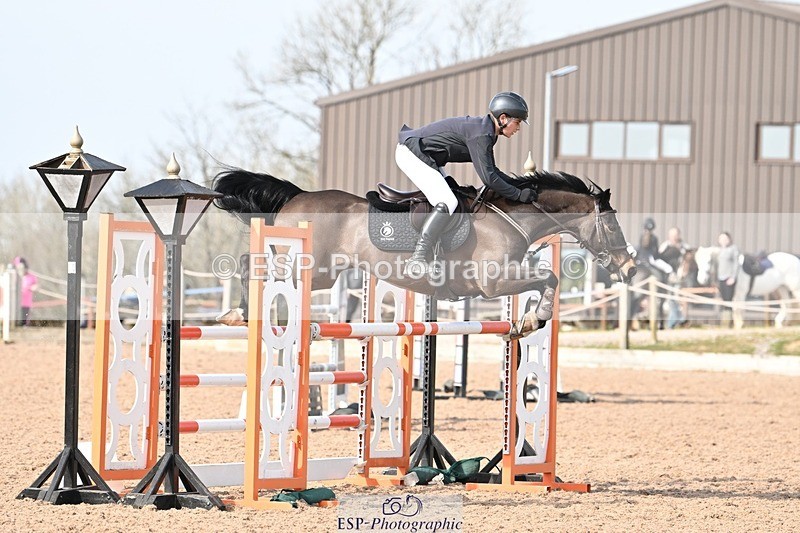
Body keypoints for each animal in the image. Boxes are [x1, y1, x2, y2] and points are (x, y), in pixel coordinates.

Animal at [212, 168, 638, 336]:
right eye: (613, 225)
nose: (630, 268)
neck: (512, 217)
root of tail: (296, 195)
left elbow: (546, 278)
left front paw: (530, 320)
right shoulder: (494, 284)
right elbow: (548, 277)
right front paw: (535, 319)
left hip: (322, 274)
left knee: (256, 265)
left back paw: (240, 313)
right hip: (309, 265)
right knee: (255, 266)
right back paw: (241, 313)